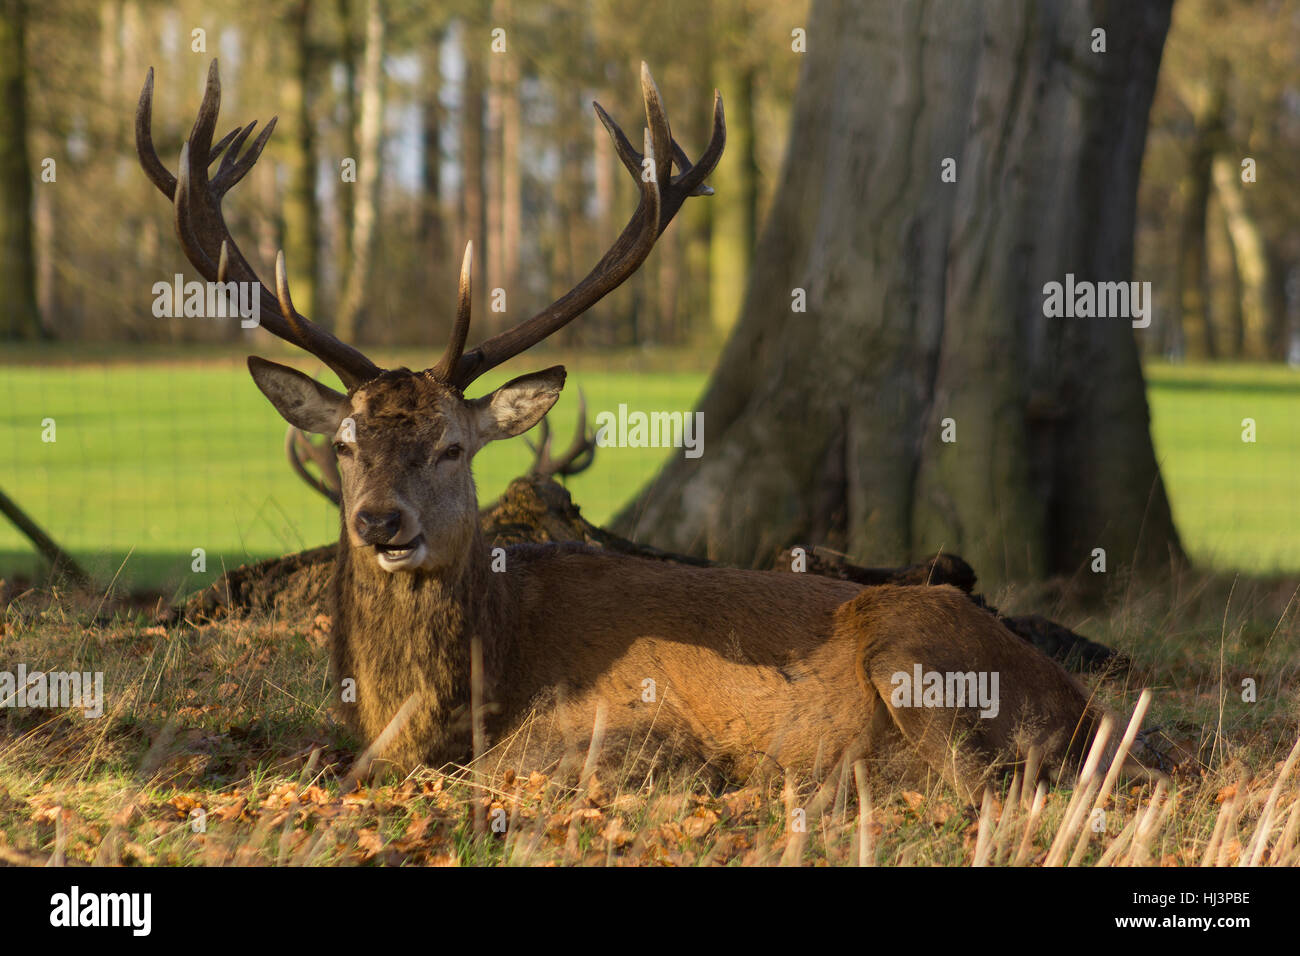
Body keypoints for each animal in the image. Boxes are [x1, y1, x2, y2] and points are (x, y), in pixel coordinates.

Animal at [137, 59, 1148, 803]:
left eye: (453, 447)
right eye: (345, 445)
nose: (380, 523)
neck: (448, 697)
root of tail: (1090, 714)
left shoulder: (615, 721)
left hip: (920, 658)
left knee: (980, 786)